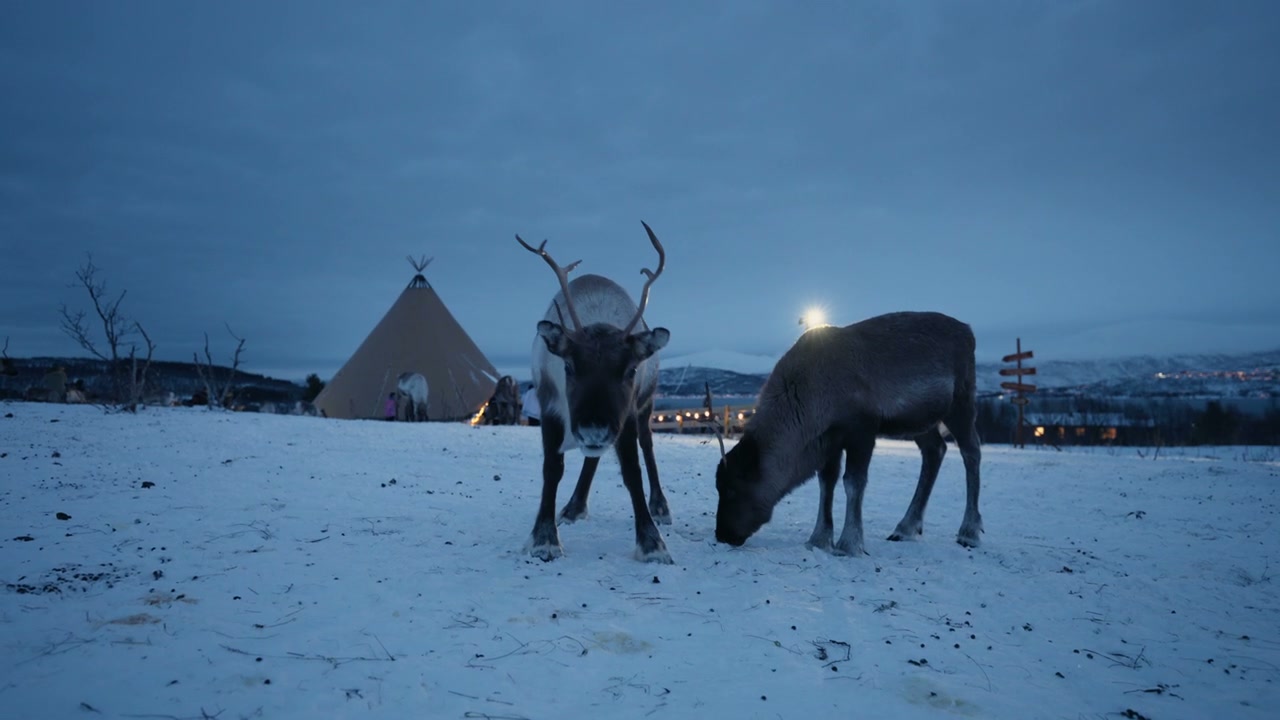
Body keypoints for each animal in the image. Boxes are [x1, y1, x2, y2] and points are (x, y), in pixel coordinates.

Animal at [517, 222, 674, 563]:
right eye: (569, 366)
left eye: (630, 370)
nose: (594, 431)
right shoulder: (549, 406)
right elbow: (552, 469)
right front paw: (544, 537)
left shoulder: (625, 414)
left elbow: (632, 471)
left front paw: (651, 541)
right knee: (592, 459)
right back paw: (574, 506)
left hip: (645, 404)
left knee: (647, 445)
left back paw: (660, 506)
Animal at [713, 311, 983, 556]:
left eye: (732, 489)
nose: (723, 534)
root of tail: (969, 332)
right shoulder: (829, 439)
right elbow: (826, 483)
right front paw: (819, 539)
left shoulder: (861, 429)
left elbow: (853, 482)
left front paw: (849, 544)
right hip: (920, 421)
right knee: (935, 450)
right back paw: (905, 527)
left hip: (960, 401)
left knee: (971, 451)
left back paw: (969, 532)